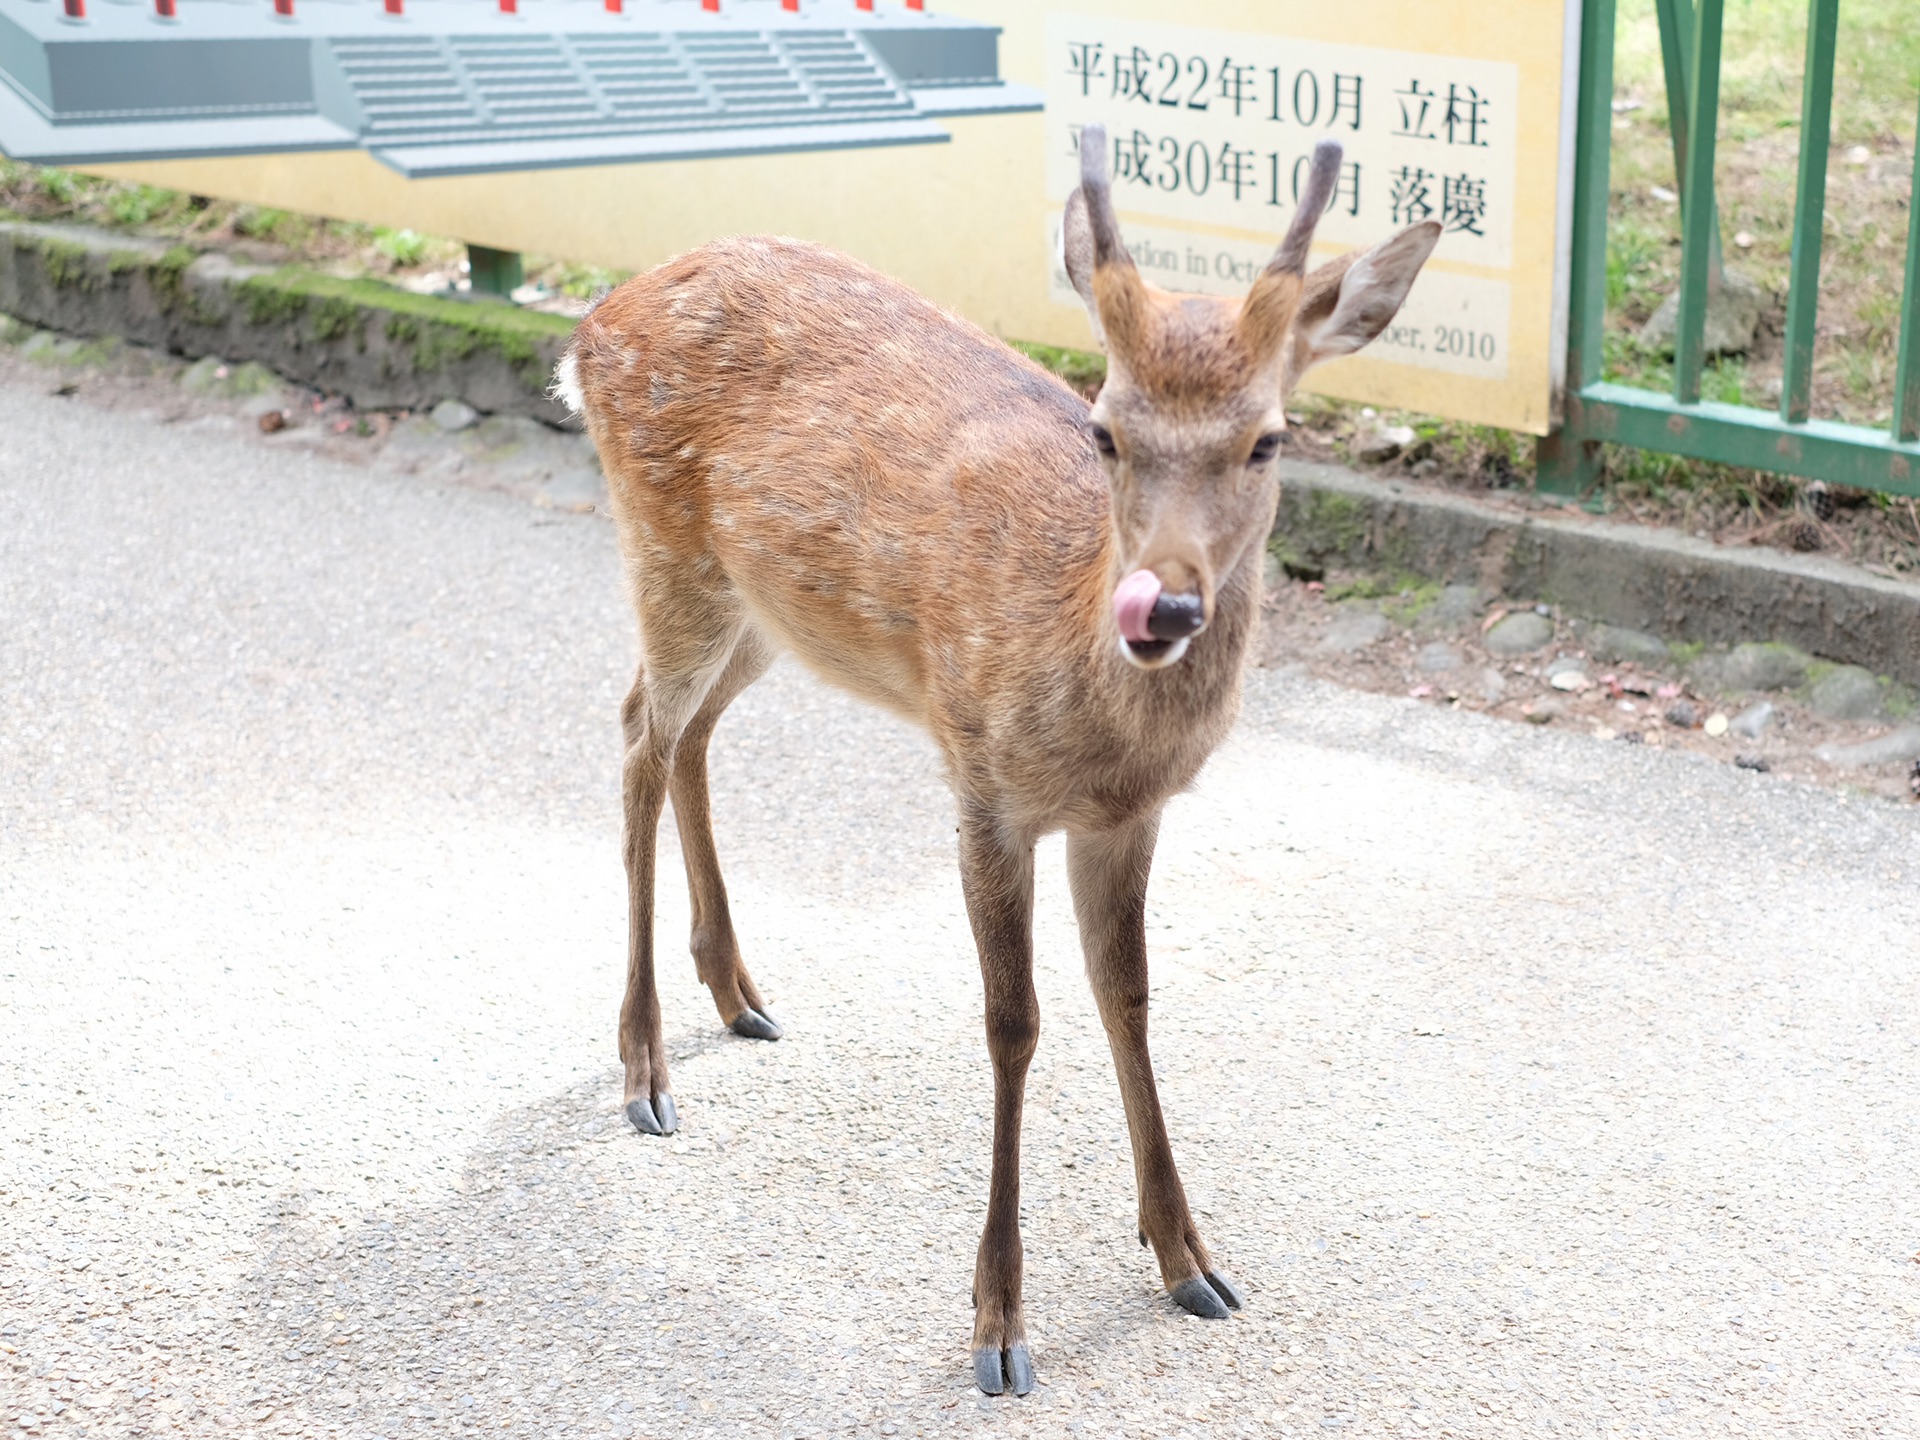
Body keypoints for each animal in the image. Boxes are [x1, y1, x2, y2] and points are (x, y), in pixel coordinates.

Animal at [549, 132, 1436, 1397]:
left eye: (1268, 438)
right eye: (1105, 430)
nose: (1163, 605)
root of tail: (589, 325)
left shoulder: (1126, 816)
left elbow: (1130, 998)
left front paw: (1190, 1260)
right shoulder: (982, 777)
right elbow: (1013, 1021)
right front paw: (1001, 1325)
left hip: (765, 610)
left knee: (689, 733)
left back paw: (738, 991)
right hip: (664, 550)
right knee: (636, 730)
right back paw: (644, 1066)